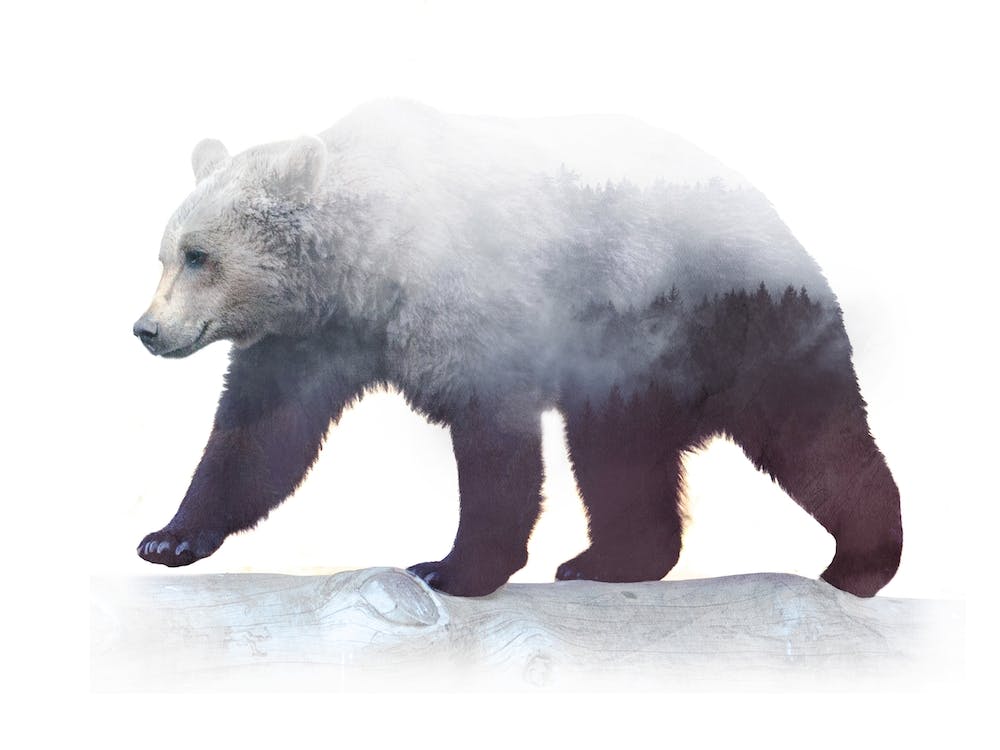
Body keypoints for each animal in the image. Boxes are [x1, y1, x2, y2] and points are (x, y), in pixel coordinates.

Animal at [133, 99, 902, 598]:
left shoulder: (465, 289)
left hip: (715, 309)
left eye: (200, 256)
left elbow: (492, 433)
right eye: (166, 255)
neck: (360, 264)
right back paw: (610, 559)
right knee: (617, 452)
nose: (147, 330)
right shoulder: (316, 332)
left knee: (810, 432)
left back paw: (862, 561)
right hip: (627, 363)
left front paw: (452, 568)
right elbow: (262, 433)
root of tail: (771, 213)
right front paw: (169, 538)